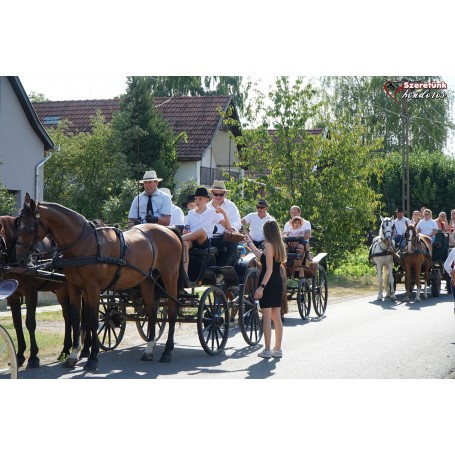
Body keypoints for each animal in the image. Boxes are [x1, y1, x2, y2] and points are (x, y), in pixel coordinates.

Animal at [0, 216, 79, 368]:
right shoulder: (13, 295)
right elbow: (17, 323)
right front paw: (19, 356)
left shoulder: (31, 292)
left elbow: (30, 323)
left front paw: (33, 357)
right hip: (61, 291)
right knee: (68, 317)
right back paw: (65, 350)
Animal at [16, 194, 183, 372]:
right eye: (18, 226)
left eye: (30, 228)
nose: (20, 259)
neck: (83, 244)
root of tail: (170, 231)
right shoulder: (74, 288)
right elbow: (77, 319)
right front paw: (74, 355)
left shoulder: (93, 288)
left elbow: (92, 321)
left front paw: (92, 358)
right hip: (146, 280)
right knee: (152, 312)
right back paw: (149, 350)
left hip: (170, 277)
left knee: (172, 312)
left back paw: (167, 351)